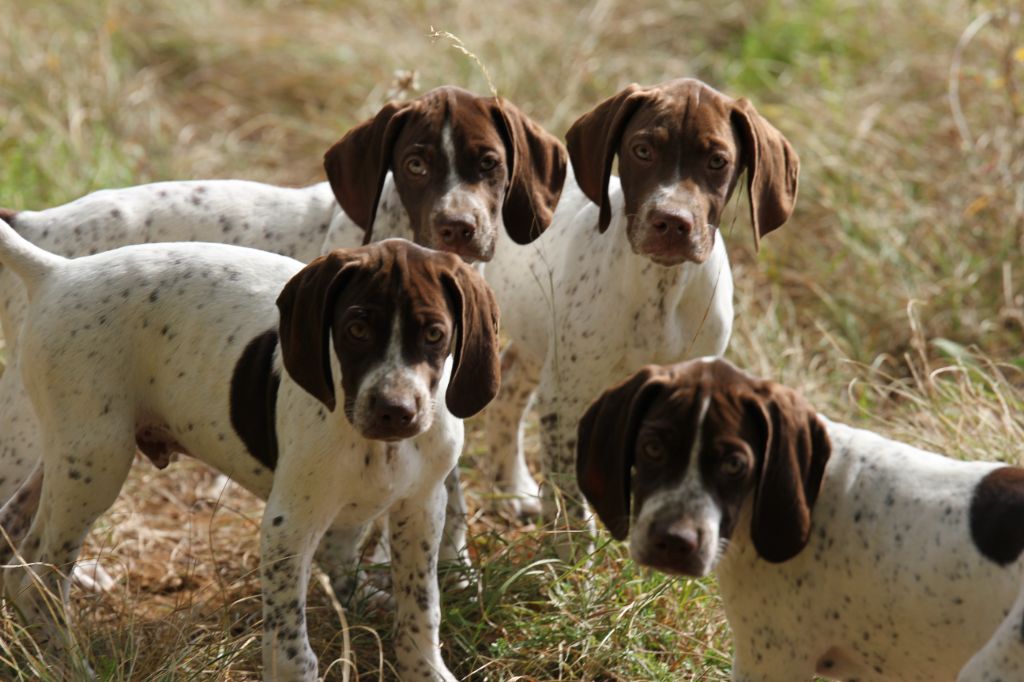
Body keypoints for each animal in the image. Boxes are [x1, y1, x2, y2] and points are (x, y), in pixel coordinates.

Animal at [0, 229, 499, 679]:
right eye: (356, 330)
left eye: (435, 334)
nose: (394, 411)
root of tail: (58, 272)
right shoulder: (288, 525)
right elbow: (291, 646)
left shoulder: (423, 507)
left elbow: (421, 612)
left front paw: (425, 671)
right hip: (96, 461)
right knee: (36, 580)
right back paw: (69, 667)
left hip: (72, 456)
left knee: (17, 548)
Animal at [481, 78, 798, 536]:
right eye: (643, 150)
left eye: (718, 161)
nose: (673, 221)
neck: (659, 290)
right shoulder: (566, 398)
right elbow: (571, 499)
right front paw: (570, 552)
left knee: (508, 383)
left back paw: (512, 488)